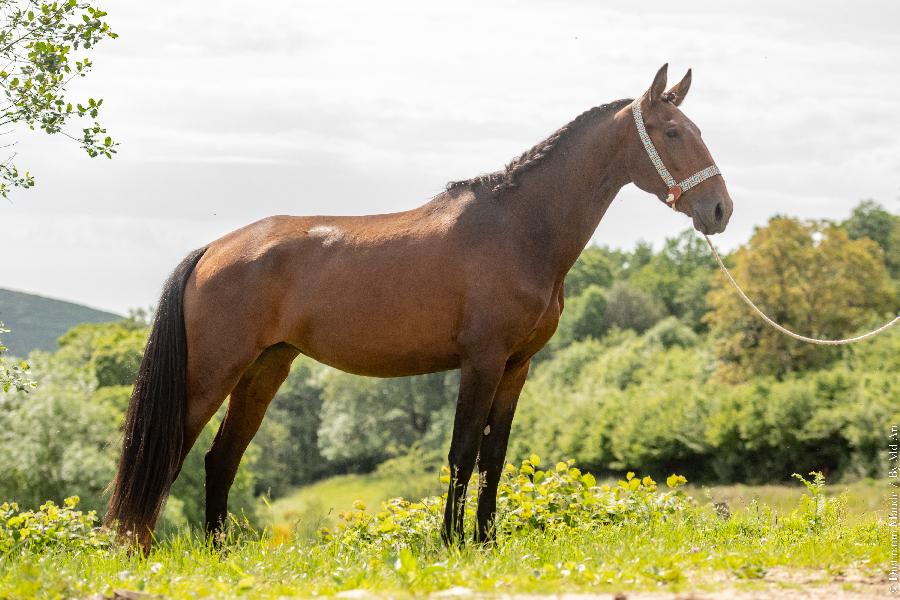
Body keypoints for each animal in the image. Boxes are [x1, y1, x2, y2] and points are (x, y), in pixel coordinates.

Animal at [109, 64, 736, 548]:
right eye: (673, 132)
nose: (720, 210)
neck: (519, 228)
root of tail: (213, 249)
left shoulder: (516, 367)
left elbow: (493, 458)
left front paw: (484, 541)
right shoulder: (481, 360)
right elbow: (462, 452)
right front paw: (452, 542)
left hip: (266, 368)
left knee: (222, 457)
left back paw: (219, 552)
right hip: (211, 372)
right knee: (169, 454)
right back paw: (143, 551)